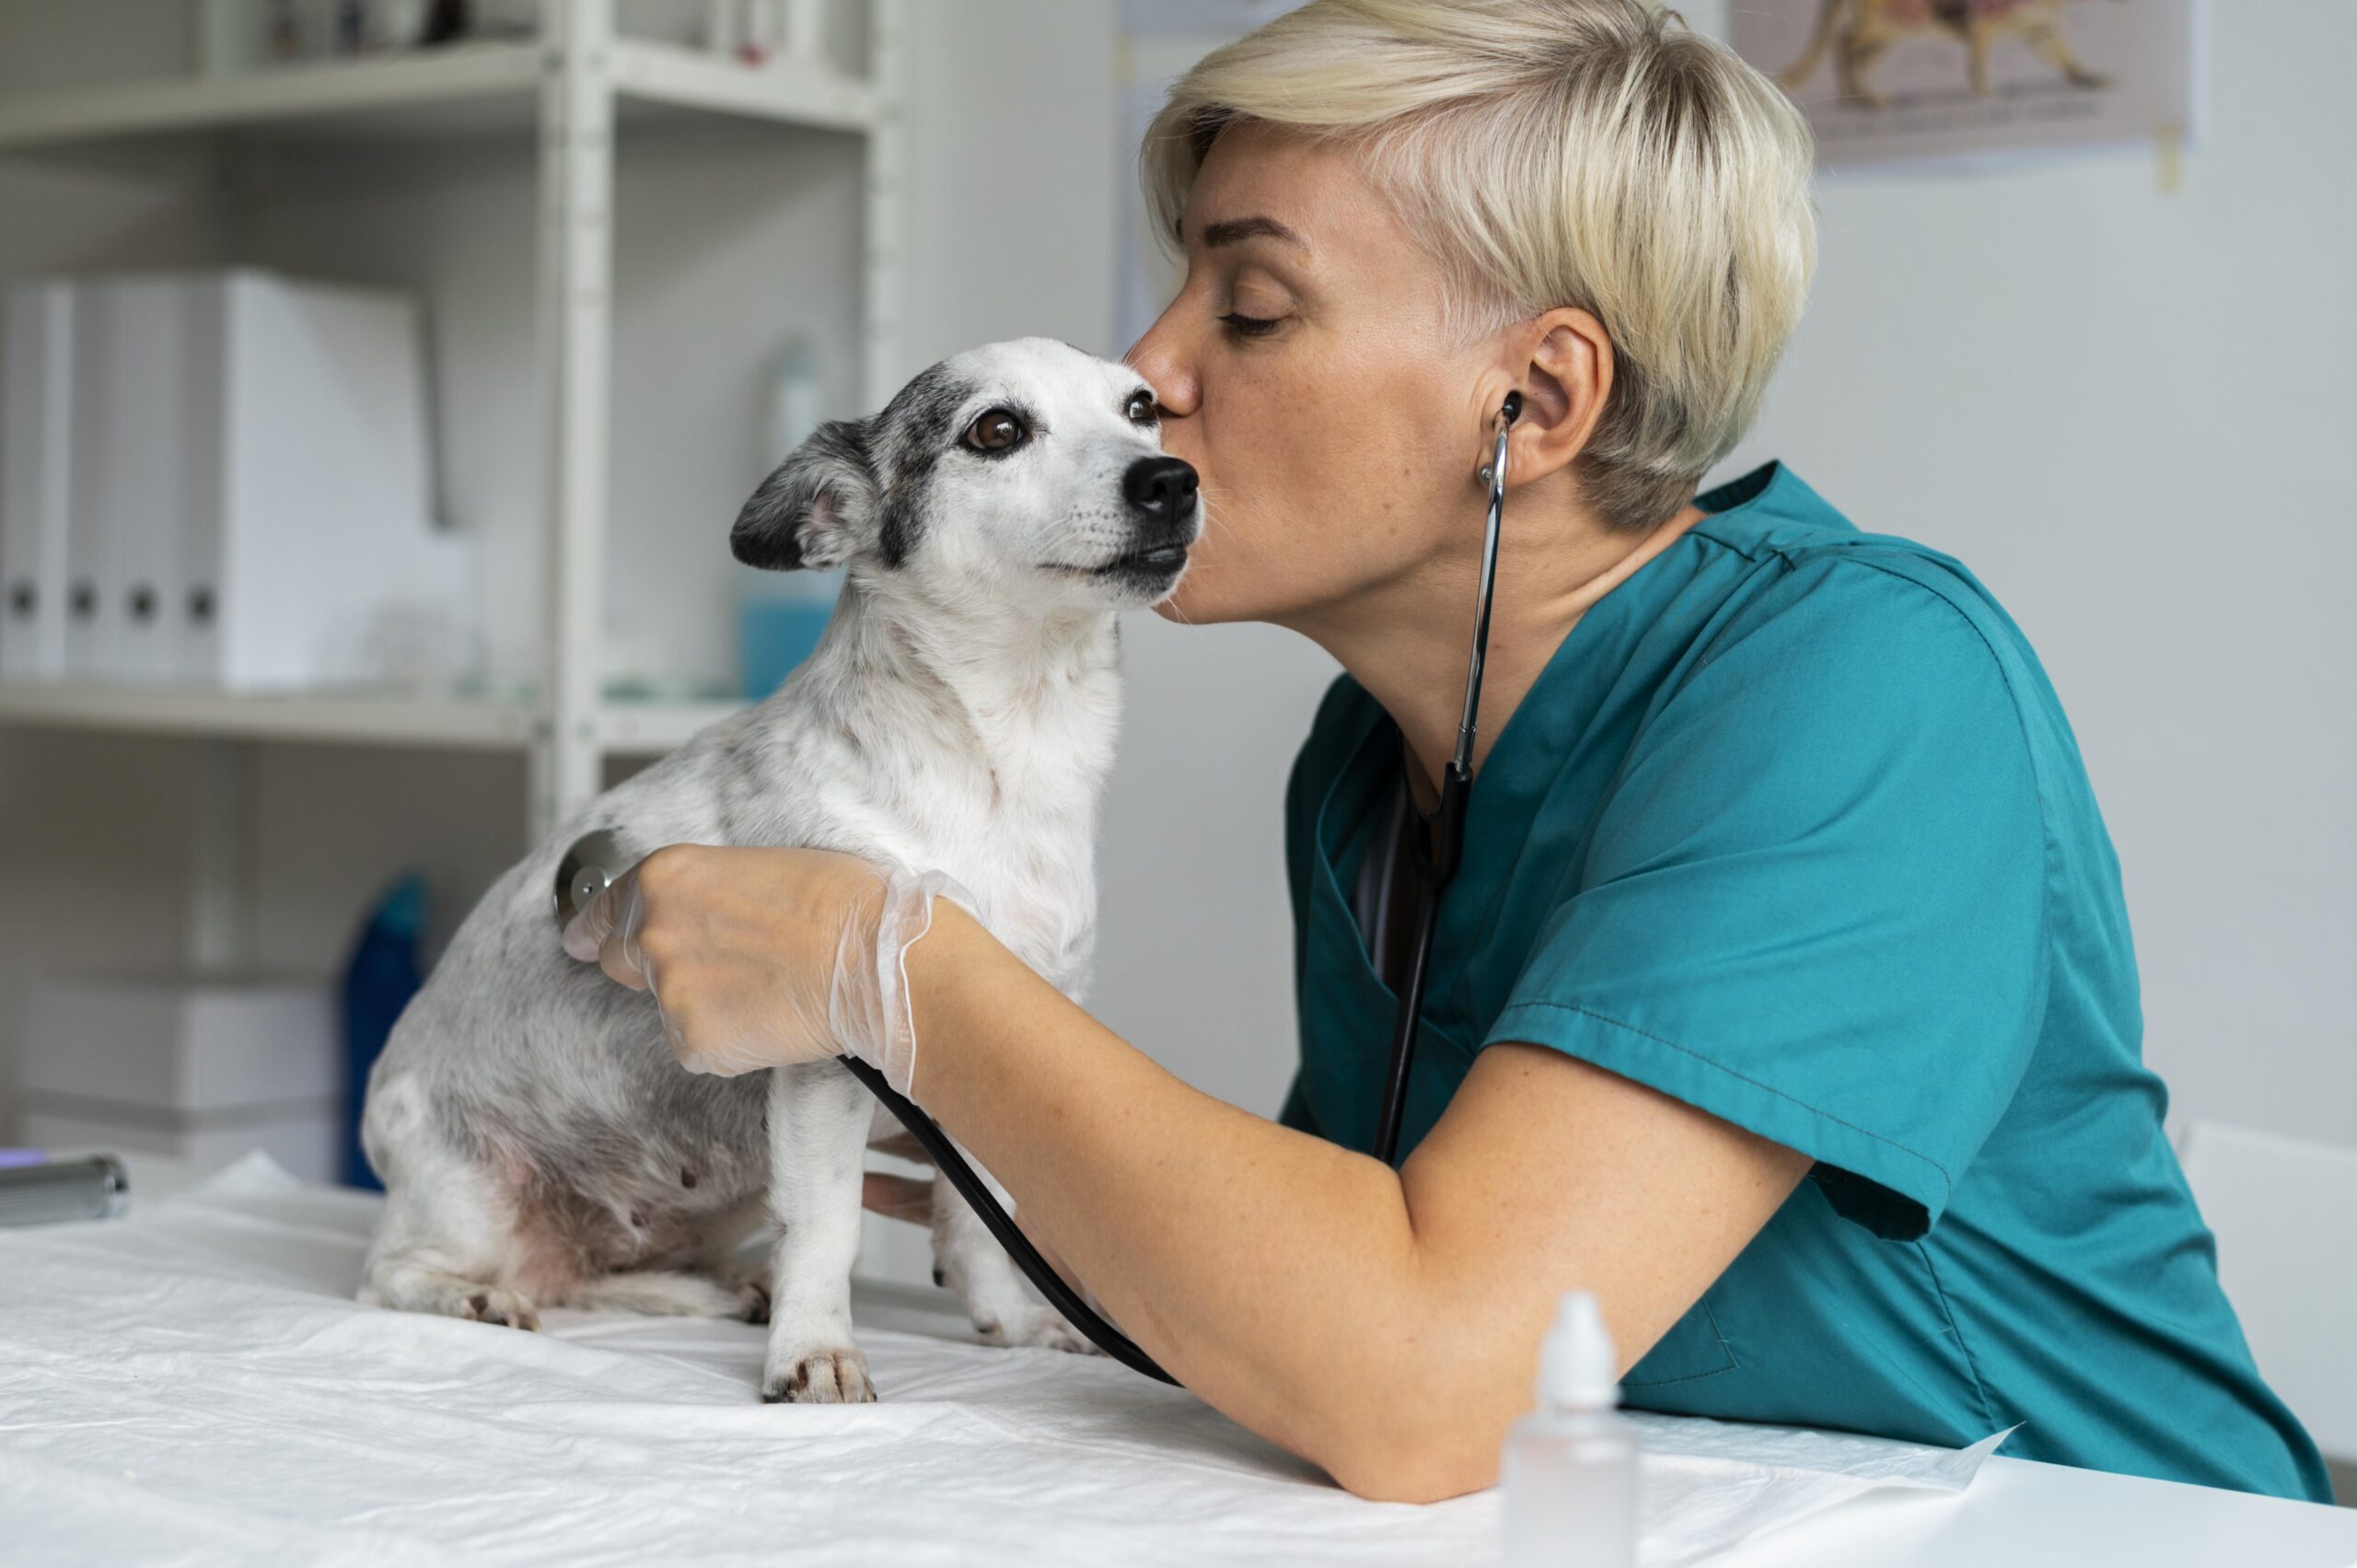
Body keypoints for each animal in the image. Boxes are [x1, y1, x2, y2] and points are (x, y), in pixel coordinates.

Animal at [358, 339, 1206, 1396]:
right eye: (997, 430)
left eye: (1144, 409)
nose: (1173, 479)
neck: (1000, 768)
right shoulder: (824, 1064)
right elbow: (829, 1227)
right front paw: (816, 1348)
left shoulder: (976, 1063)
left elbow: (978, 1224)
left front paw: (1009, 1319)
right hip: (470, 1198)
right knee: (396, 1273)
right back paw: (477, 1294)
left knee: (595, 1274)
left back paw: (715, 1288)